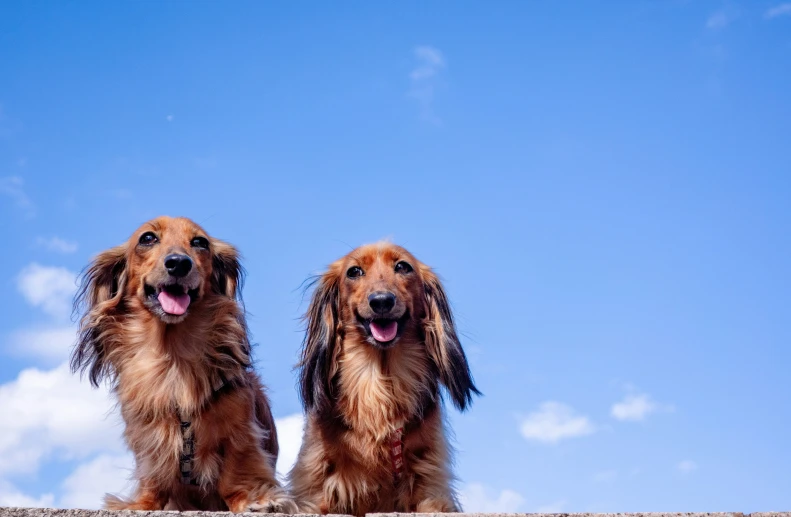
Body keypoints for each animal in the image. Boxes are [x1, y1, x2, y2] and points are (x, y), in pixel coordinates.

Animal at [72, 216, 296, 510]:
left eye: (200, 242)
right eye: (147, 238)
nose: (179, 263)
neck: (173, 357)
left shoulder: (240, 431)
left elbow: (237, 468)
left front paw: (252, 498)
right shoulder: (149, 434)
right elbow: (154, 474)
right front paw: (143, 504)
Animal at [290, 243, 480, 516]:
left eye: (402, 267)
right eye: (354, 271)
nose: (381, 301)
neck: (379, 381)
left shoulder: (430, 483)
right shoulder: (316, 487)